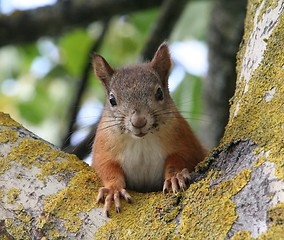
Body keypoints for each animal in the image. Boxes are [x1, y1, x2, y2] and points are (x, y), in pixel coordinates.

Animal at [92, 42, 207, 217]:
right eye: (112, 99)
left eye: (159, 93)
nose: (138, 122)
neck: (141, 141)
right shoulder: (103, 147)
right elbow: (107, 168)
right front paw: (114, 190)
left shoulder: (185, 141)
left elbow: (180, 158)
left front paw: (175, 177)